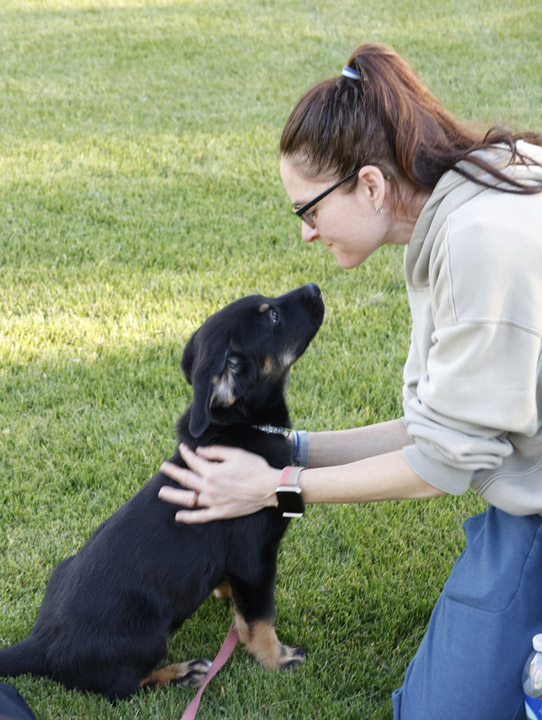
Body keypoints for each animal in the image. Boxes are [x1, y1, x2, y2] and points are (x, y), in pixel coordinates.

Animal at [0, 284, 324, 700]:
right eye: (273, 316)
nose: (315, 288)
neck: (239, 427)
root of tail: (40, 643)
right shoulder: (255, 558)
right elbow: (260, 618)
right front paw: (278, 659)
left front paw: (223, 595)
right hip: (148, 637)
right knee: (124, 686)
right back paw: (183, 673)